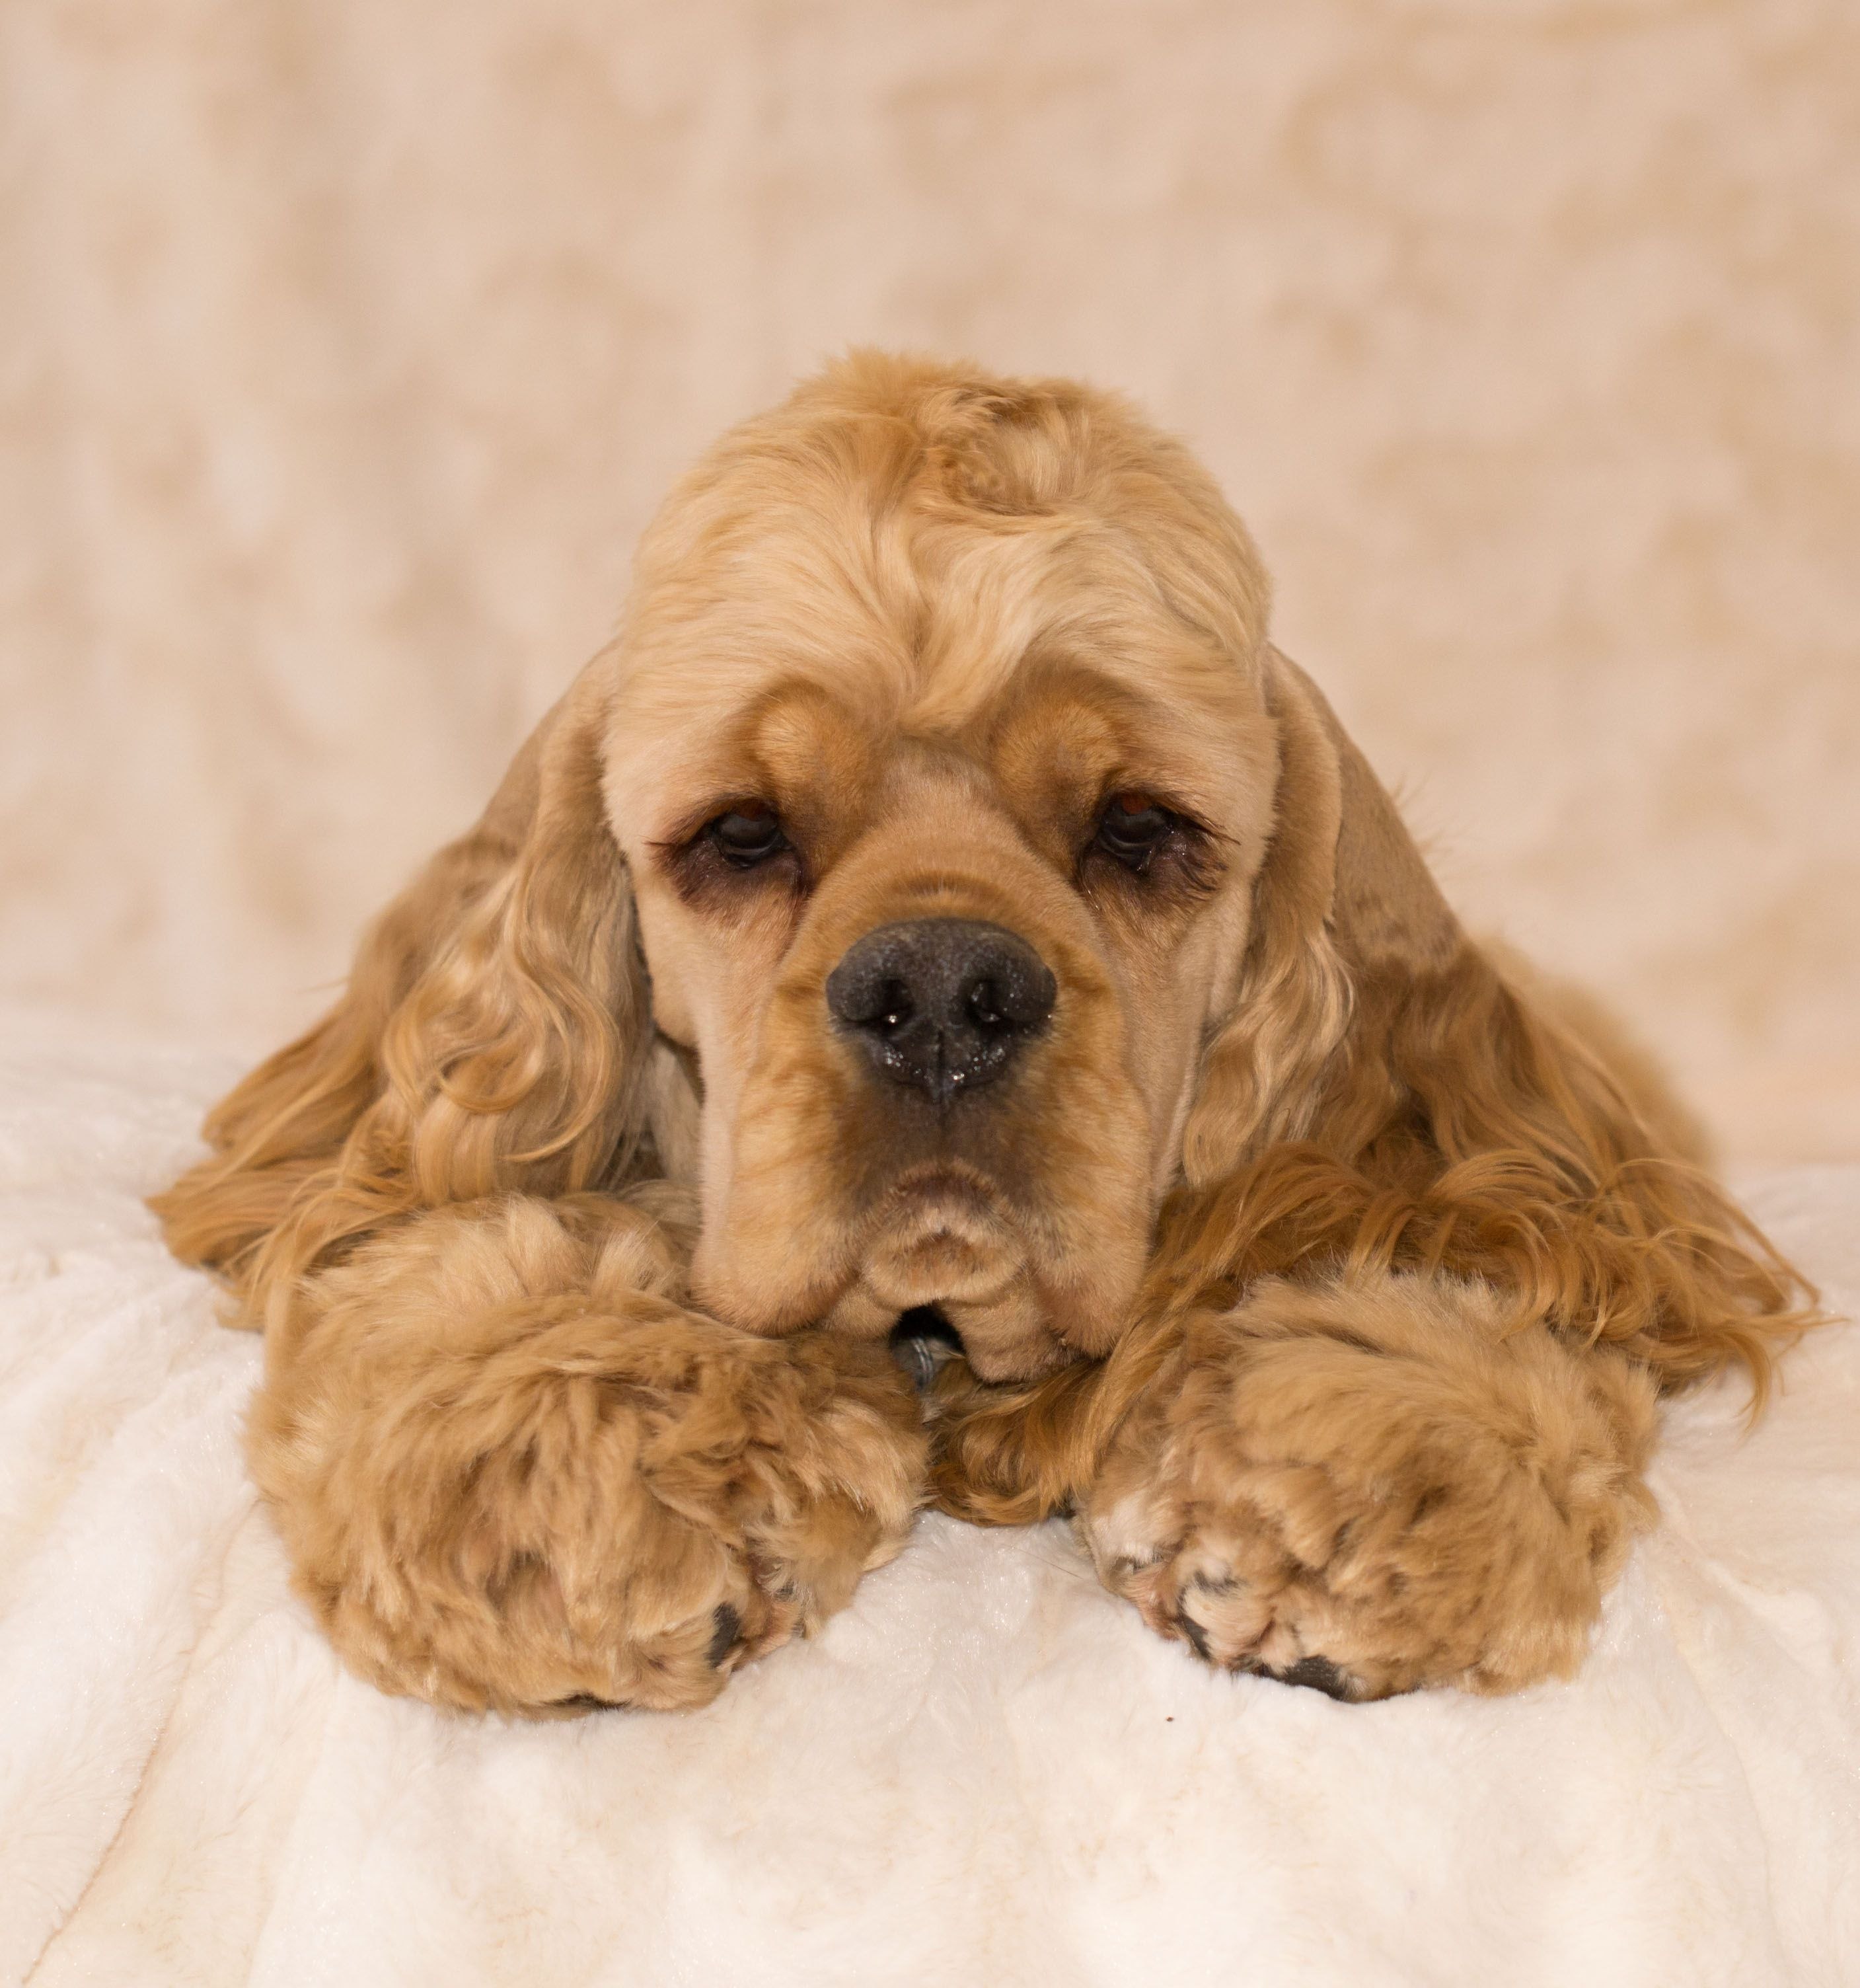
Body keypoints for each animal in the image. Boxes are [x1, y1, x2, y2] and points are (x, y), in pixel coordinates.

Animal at [156, 354, 1820, 1709]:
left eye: (1142, 827)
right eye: (741, 833)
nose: (945, 994)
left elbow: (1409, 1238)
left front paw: (1351, 1473)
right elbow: (503, 1238)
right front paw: (570, 1476)